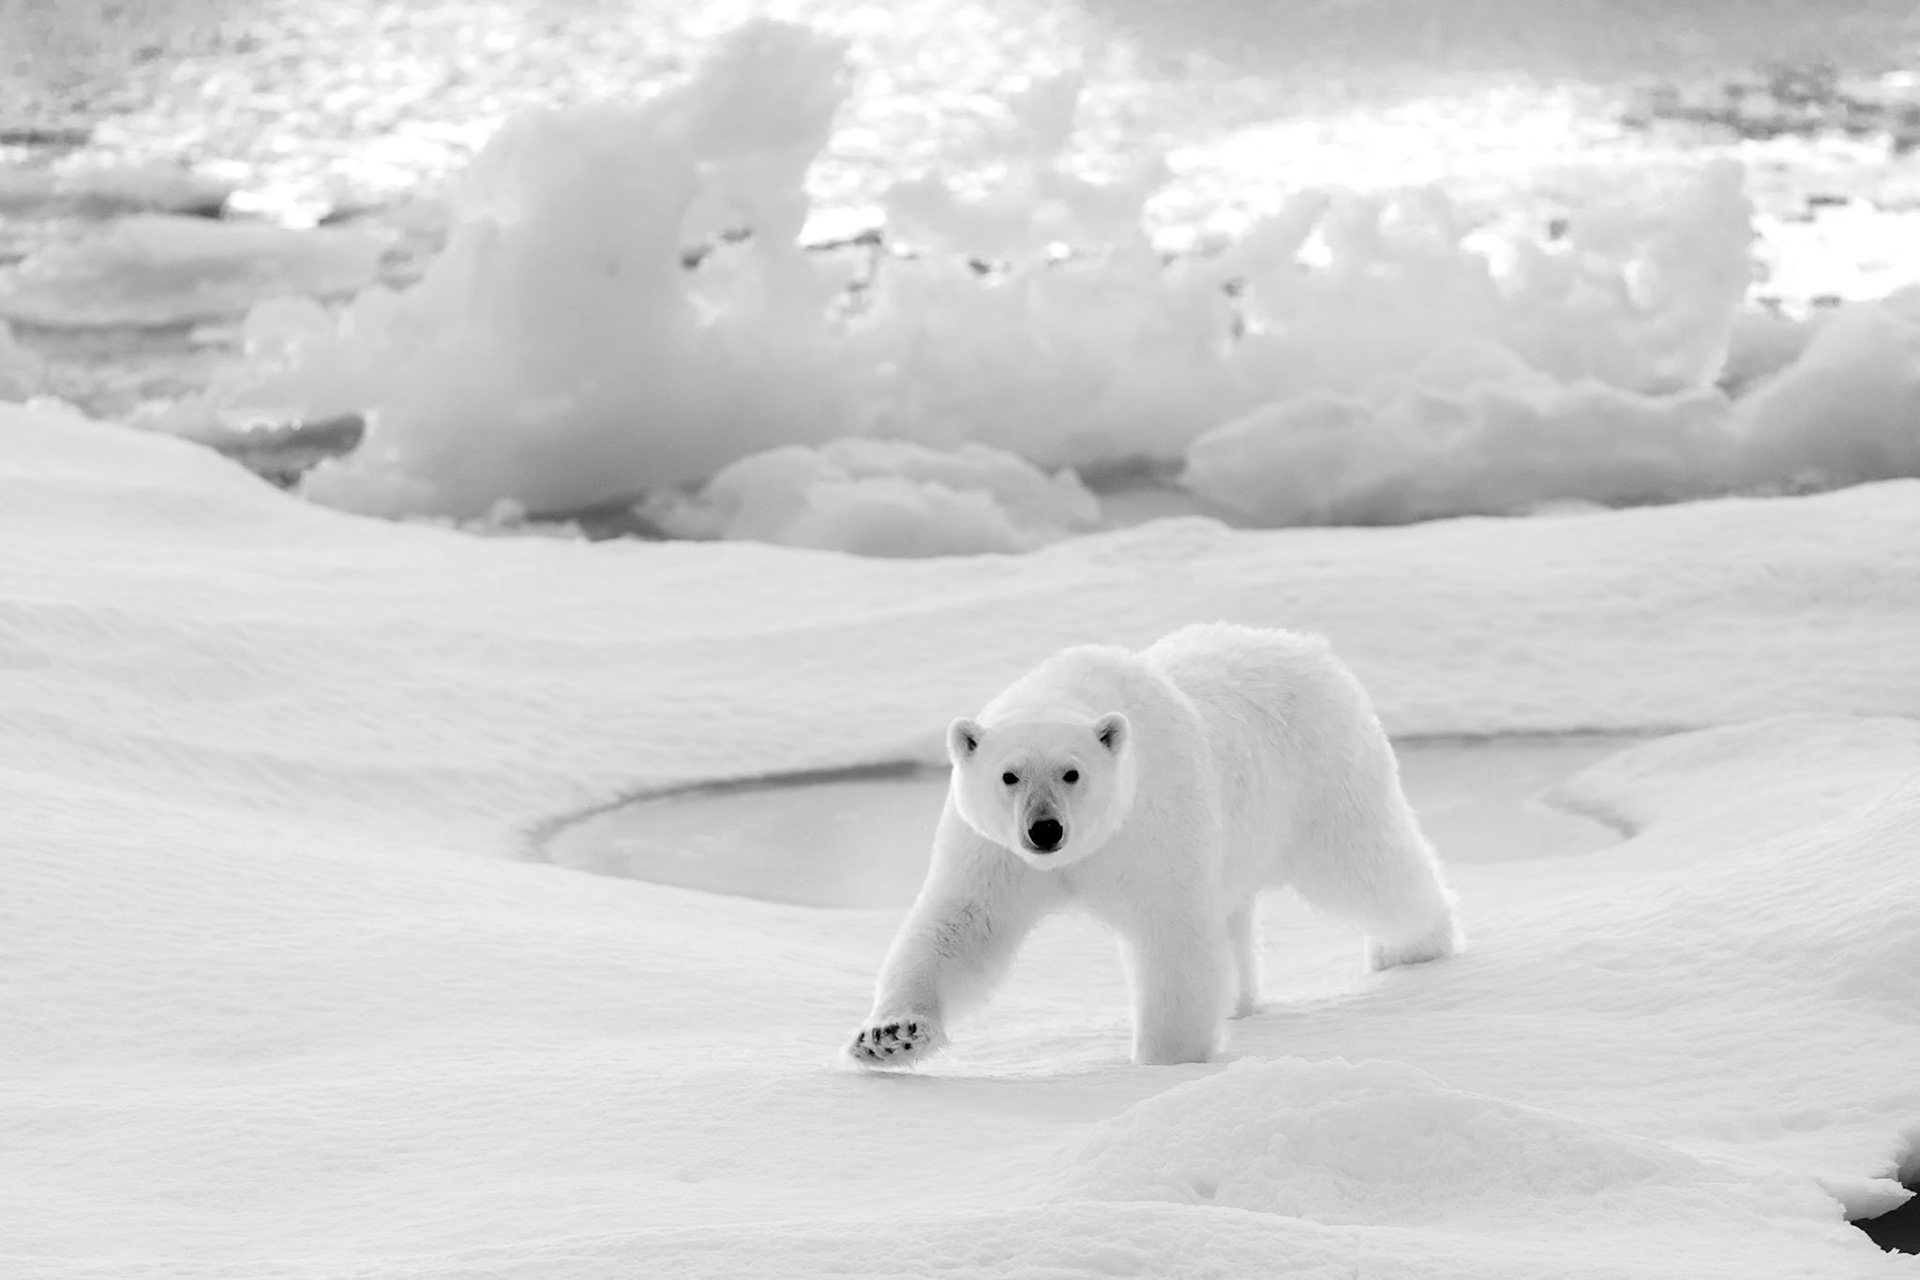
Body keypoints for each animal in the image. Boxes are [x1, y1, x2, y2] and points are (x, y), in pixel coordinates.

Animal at [847, 621, 1460, 1068]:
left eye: (1072, 773)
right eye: (1009, 775)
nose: (1045, 830)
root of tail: (1310, 647)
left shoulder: (1152, 821)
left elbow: (1172, 932)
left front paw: (1164, 1061)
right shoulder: (994, 850)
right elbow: (963, 923)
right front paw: (889, 1036)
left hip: (1323, 780)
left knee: (1367, 868)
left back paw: (1410, 949)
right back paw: (1240, 1003)